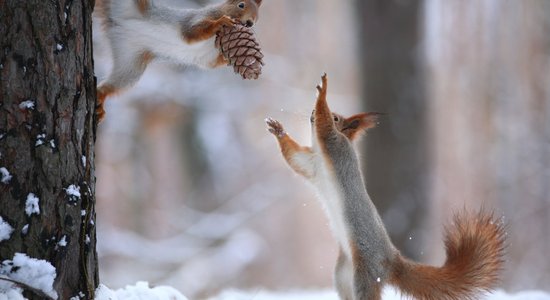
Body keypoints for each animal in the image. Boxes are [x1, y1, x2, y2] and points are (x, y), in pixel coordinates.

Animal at [96, 0, 264, 119]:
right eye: (241, 5)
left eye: (257, 17)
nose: (250, 23)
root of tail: (117, 24)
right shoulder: (193, 20)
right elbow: (193, 32)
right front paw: (220, 22)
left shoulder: (209, 56)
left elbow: (212, 63)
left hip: (130, 62)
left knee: (115, 84)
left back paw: (100, 97)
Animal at [266, 73, 506, 300]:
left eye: (336, 118)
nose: (311, 114)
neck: (320, 153)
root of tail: (392, 260)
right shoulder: (311, 165)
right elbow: (295, 159)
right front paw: (278, 130)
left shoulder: (335, 144)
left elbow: (325, 129)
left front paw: (323, 92)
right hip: (342, 276)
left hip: (365, 274)